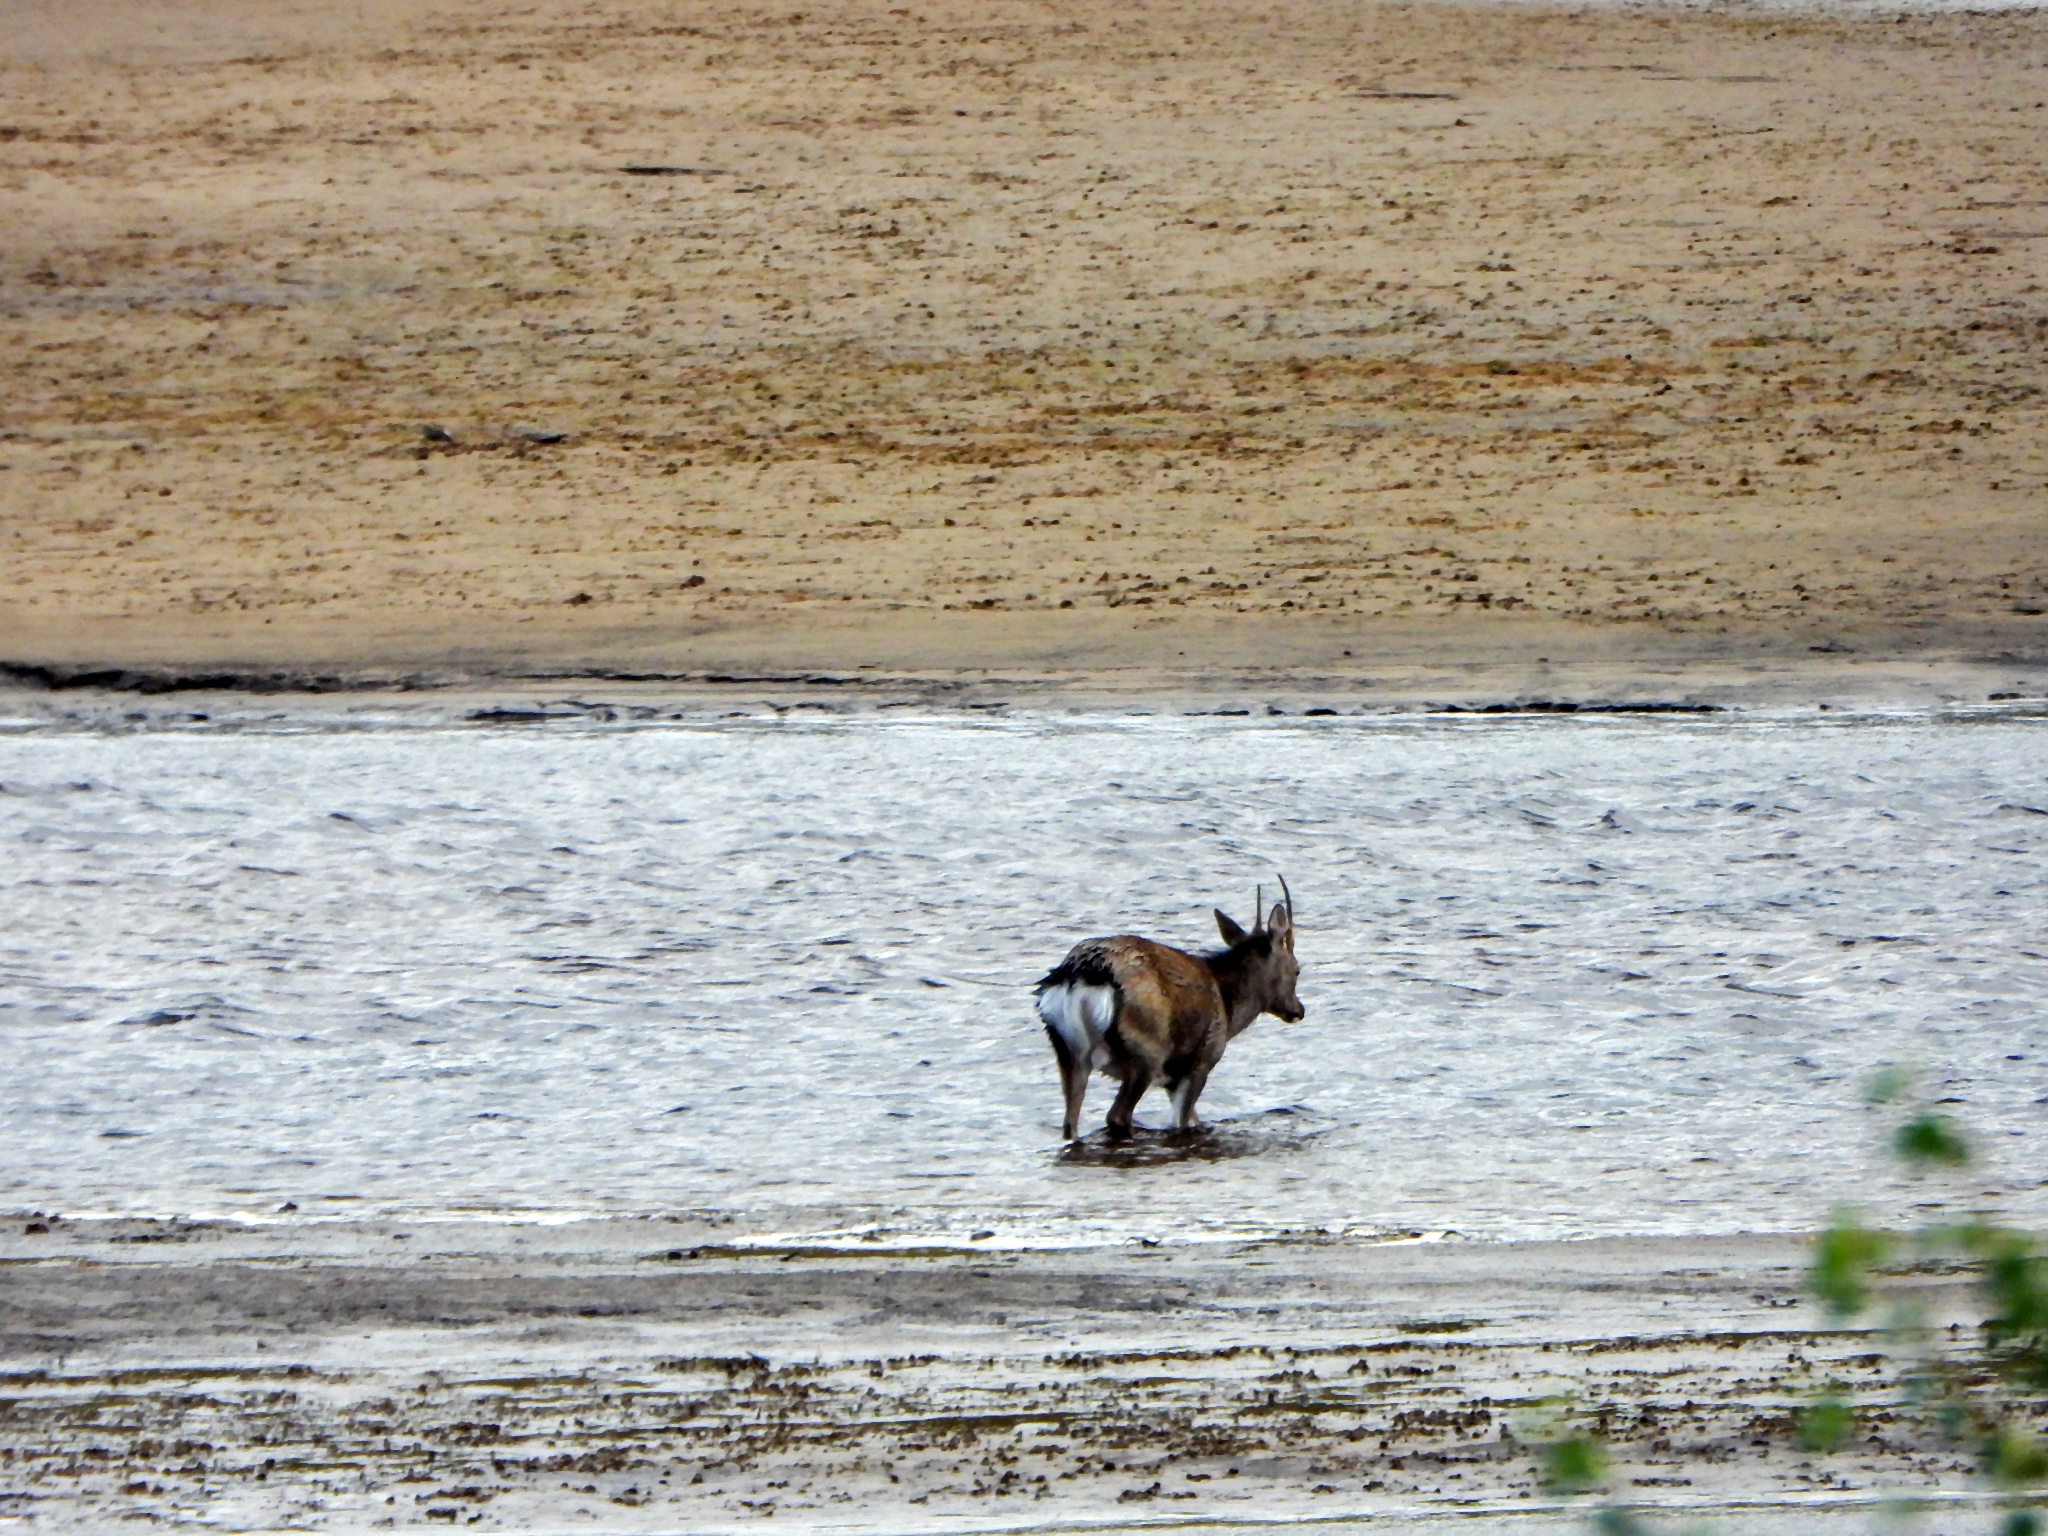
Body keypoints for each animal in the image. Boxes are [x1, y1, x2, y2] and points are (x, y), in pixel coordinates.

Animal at [1034, 878, 1304, 1141]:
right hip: (1146, 1052)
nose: (1298, 1010)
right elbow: (1185, 1121)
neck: (1229, 1009)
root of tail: (1082, 974)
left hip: (1067, 1051)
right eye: (1297, 969)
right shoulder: (1202, 1059)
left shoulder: (1172, 1079)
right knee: (1117, 1116)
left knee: (1070, 1122)